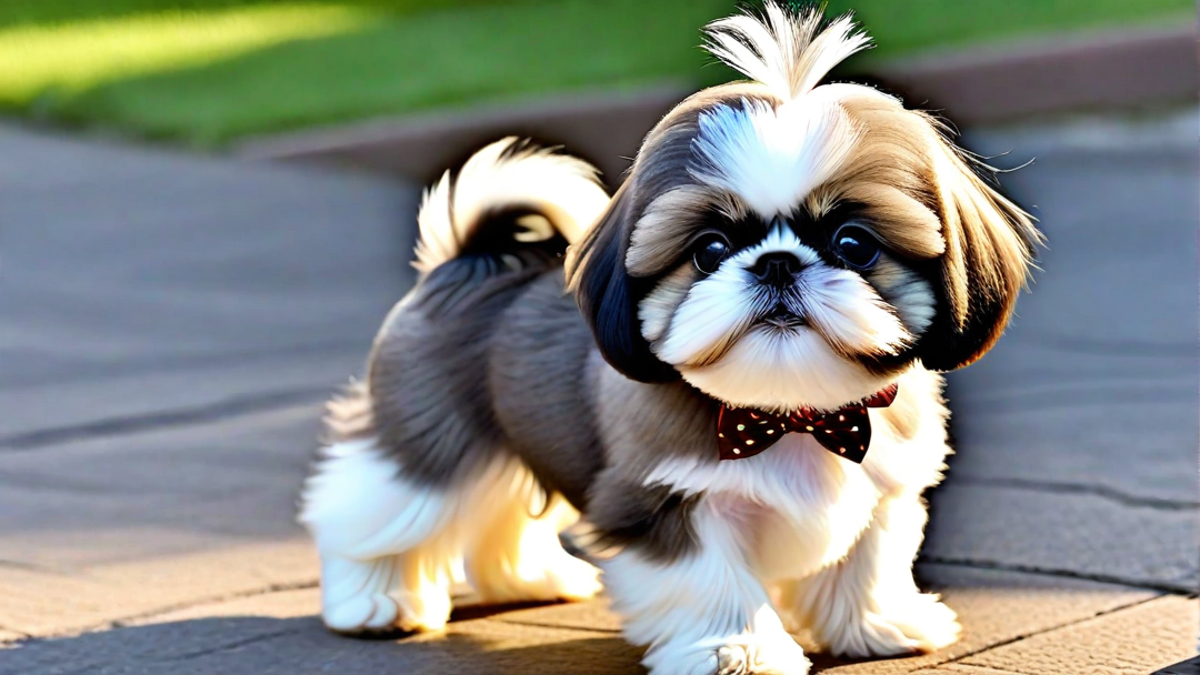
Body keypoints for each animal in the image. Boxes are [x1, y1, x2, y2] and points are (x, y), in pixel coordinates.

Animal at [297, 6, 1041, 672]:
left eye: (854, 243)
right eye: (709, 249)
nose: (777, 262)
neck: (790, 412)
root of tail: (468, 259)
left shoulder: (884, 487)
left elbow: (867, 561)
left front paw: (877, 625)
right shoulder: (661, 500)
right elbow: (710, 579)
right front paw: (737, 650)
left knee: (499, 509)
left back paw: (532, 579)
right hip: (430, 441)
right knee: (375, 508)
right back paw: (375, 602)